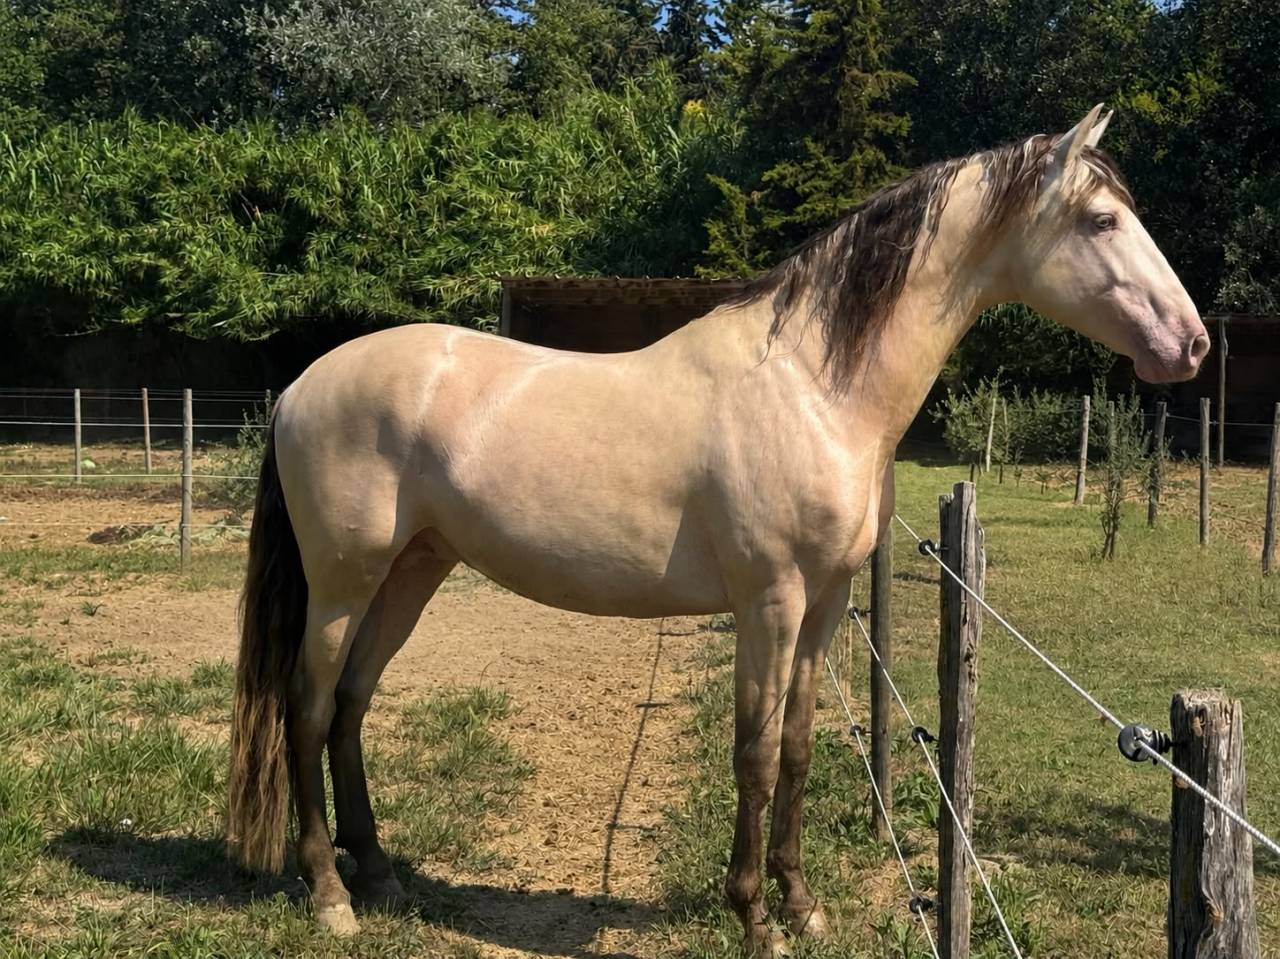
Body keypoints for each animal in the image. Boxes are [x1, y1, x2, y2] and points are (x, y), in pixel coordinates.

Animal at [226, 105, 1207, 956]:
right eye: (1101, 220)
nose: (1191, 344)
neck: (813, 384)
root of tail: (302, 385)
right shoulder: (769, 603)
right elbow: (757, 755)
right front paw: (754, 917)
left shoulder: (824, 606)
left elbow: (802, 750)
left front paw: (803, 904)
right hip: (344, 581)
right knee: (307, 706)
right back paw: (331, 895)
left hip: (413, 570)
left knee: (351, 705)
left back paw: (380, 873)